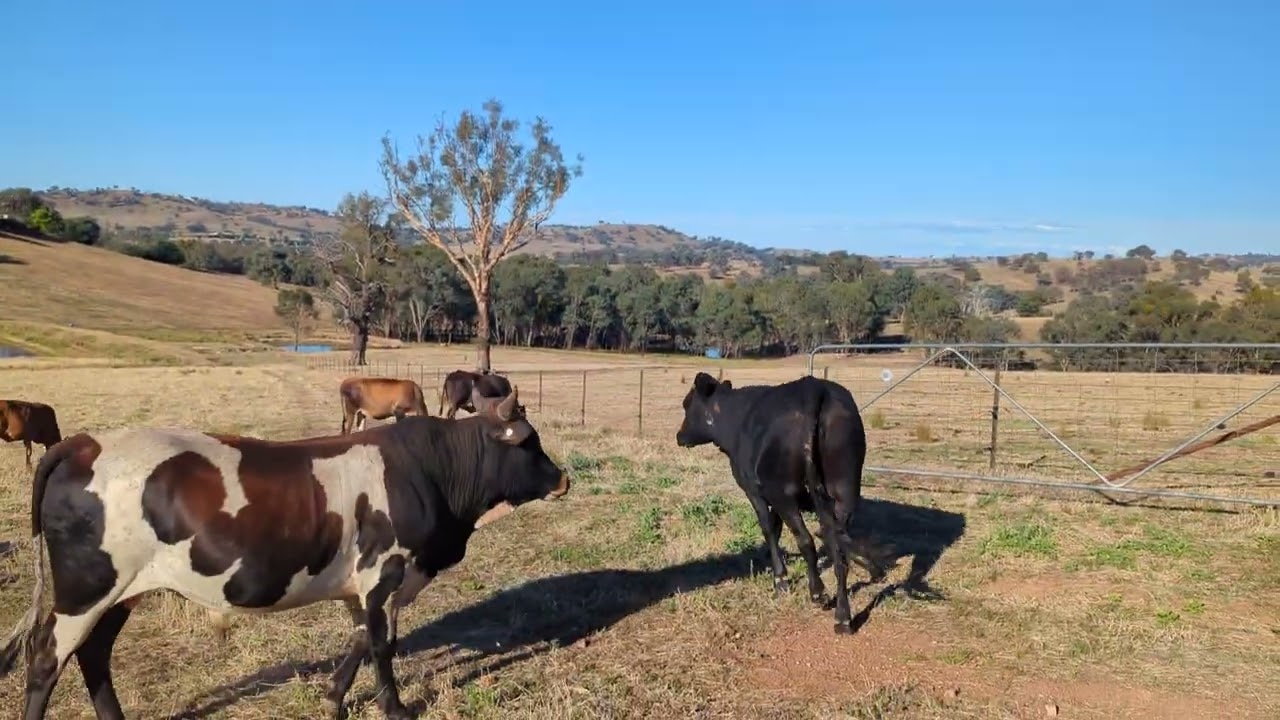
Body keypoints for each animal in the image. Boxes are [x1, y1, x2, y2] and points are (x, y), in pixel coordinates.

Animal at [0, 386, 570, 720]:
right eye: (529, 441)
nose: (563, 478)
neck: (430, 469)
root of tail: (83, 443)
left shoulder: (360, 584)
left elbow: (360, 640)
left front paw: (334, 698)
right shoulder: (385, 572)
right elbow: (382, 646)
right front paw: (395, 707)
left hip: (121, 590)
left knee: (94, 654)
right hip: (87, 589)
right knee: (48, 657)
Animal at [674, 372, 889, 635]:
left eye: (687, 404)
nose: (679, 436)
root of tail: (813, 388)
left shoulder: (754, 491)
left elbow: (768, 529)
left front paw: (780, 580)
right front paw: (872, 567)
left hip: (783, 493)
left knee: (806, 540)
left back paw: (818, 593)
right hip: (844, 490)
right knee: (838, 547)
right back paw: (843, 616)